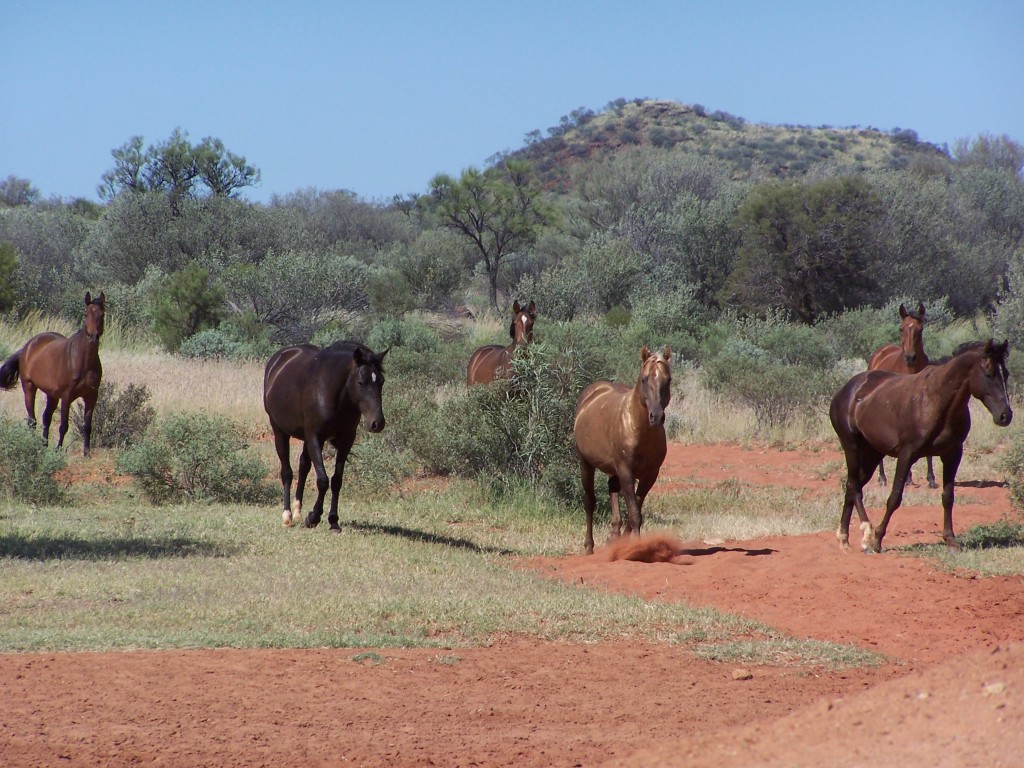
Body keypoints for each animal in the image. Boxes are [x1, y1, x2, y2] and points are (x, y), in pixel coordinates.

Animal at [0, 290, 105, 454]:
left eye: (102, 314)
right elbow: (63, 426)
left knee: (46, 418)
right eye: (86, 313)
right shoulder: (67, 396)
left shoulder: (92, 396)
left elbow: (87, 427)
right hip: (29, 387)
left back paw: (44, 445)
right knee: (32, 420)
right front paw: (58, 450)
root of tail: (28, 345)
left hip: (52, 395)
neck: (83, 360)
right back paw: (33, 446)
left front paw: (87, 453)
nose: (93, 337)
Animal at [264, 339, 387, 532]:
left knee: (303, 467)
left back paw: (298, 511)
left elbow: (336, 480)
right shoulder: (316, 437)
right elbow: (322, 480)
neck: (331, 393)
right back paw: (288, 516)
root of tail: (279, 358)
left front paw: (333, 520)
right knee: (287, 472)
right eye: (361, 382)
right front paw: (313, 517)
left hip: (305, 438)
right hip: (280, 432)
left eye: (381, 381)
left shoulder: (346, 440)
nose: (377, 423)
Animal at [573, 346, 675, 557]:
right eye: (644, 379)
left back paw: (613, 535)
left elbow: (635, 509)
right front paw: (638, 549)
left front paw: (625, 541)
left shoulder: (650, 475)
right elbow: (635, 513)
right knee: (589, 502)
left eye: (667, 380)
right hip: (586, 463)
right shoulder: (626, 471)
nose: (656, 416)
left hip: (612, 469)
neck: (638, 429)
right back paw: (589, 546)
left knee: (612, 490)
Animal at [827, 342, 1011, 552]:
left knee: (852, 485)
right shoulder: (907, 454)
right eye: (988, 372)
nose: (1005, 416)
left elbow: (948, 497)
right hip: (852, 447)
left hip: (872, 454)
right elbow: (894, 498)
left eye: (1005, 373)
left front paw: (950, 540)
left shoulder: (953, 454)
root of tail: (846, 390)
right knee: (854, 486)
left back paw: (844, 538)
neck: (938, 400)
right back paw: (866, 533)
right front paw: (877, 539)